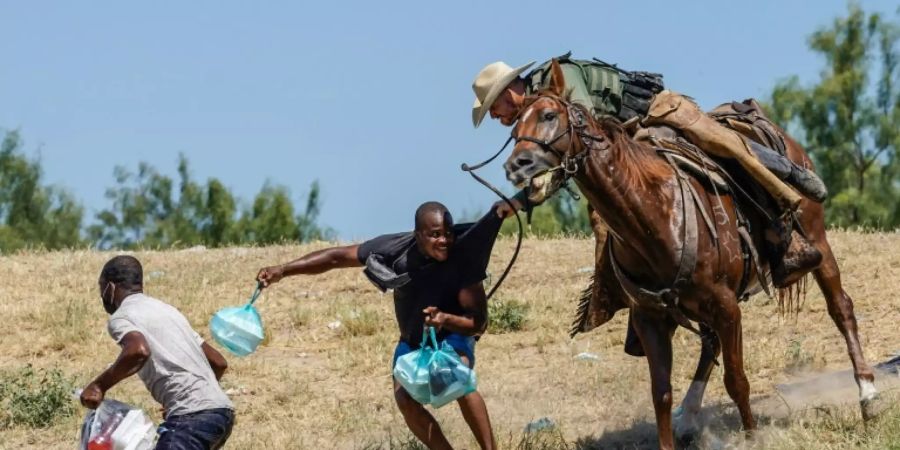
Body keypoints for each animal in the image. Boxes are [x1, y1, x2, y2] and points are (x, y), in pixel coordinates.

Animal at [502, 59, 876, 450]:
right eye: (514, 127)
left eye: (548, 115)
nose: (517, 165)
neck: (654, 215)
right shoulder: (650, 318)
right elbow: (661, 393)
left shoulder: (726, 307)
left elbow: (737, 381)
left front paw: (752, 436)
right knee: (709, 346)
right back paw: (690, 416)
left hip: (817, 241)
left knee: (841, 308)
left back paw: (867, 395)